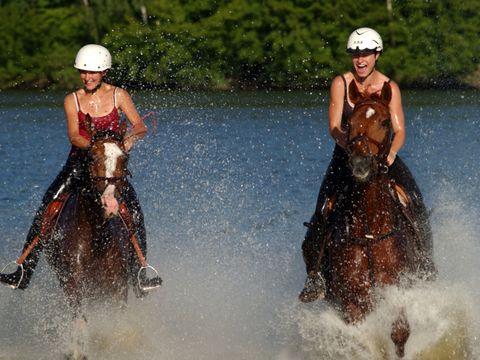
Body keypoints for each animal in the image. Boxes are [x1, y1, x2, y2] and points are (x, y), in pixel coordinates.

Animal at [322, 81, 436, 358]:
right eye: (349, 122)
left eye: (385, 122)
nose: (360, 165)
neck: (370, 229)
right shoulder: (353, 299)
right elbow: (361, 338)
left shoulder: (399, 289)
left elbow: (399, 334)